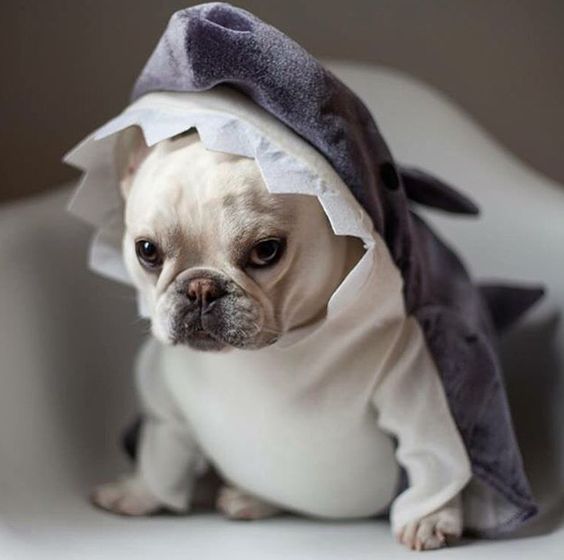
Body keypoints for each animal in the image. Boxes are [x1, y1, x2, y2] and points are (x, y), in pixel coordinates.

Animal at [91, 127, 472, 552]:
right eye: (147, 251)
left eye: (266, 250)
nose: (201, 288)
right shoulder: (166, 403)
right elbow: (161, 450)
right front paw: (140, 492)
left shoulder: (410, 383)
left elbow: (432, 452)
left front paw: (430, 517)